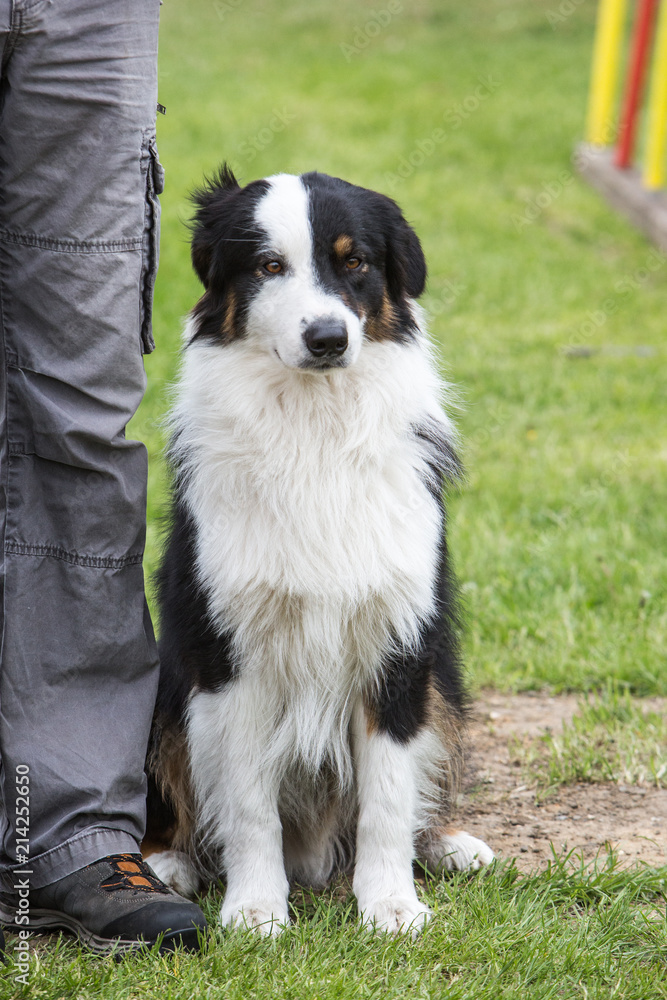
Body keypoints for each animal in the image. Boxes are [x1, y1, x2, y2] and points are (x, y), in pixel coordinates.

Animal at [145, 166, 490, 936]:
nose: (329, 337)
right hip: (167, 684)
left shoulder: (398, 639)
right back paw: (165, 861)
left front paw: (391, 904)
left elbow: (388, 795)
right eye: (269, 266)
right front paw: (254, 911)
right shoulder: (229, 651)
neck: (316, 424)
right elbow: (248, 803)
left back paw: (449, 842)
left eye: (354, 261)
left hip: (442, 680)